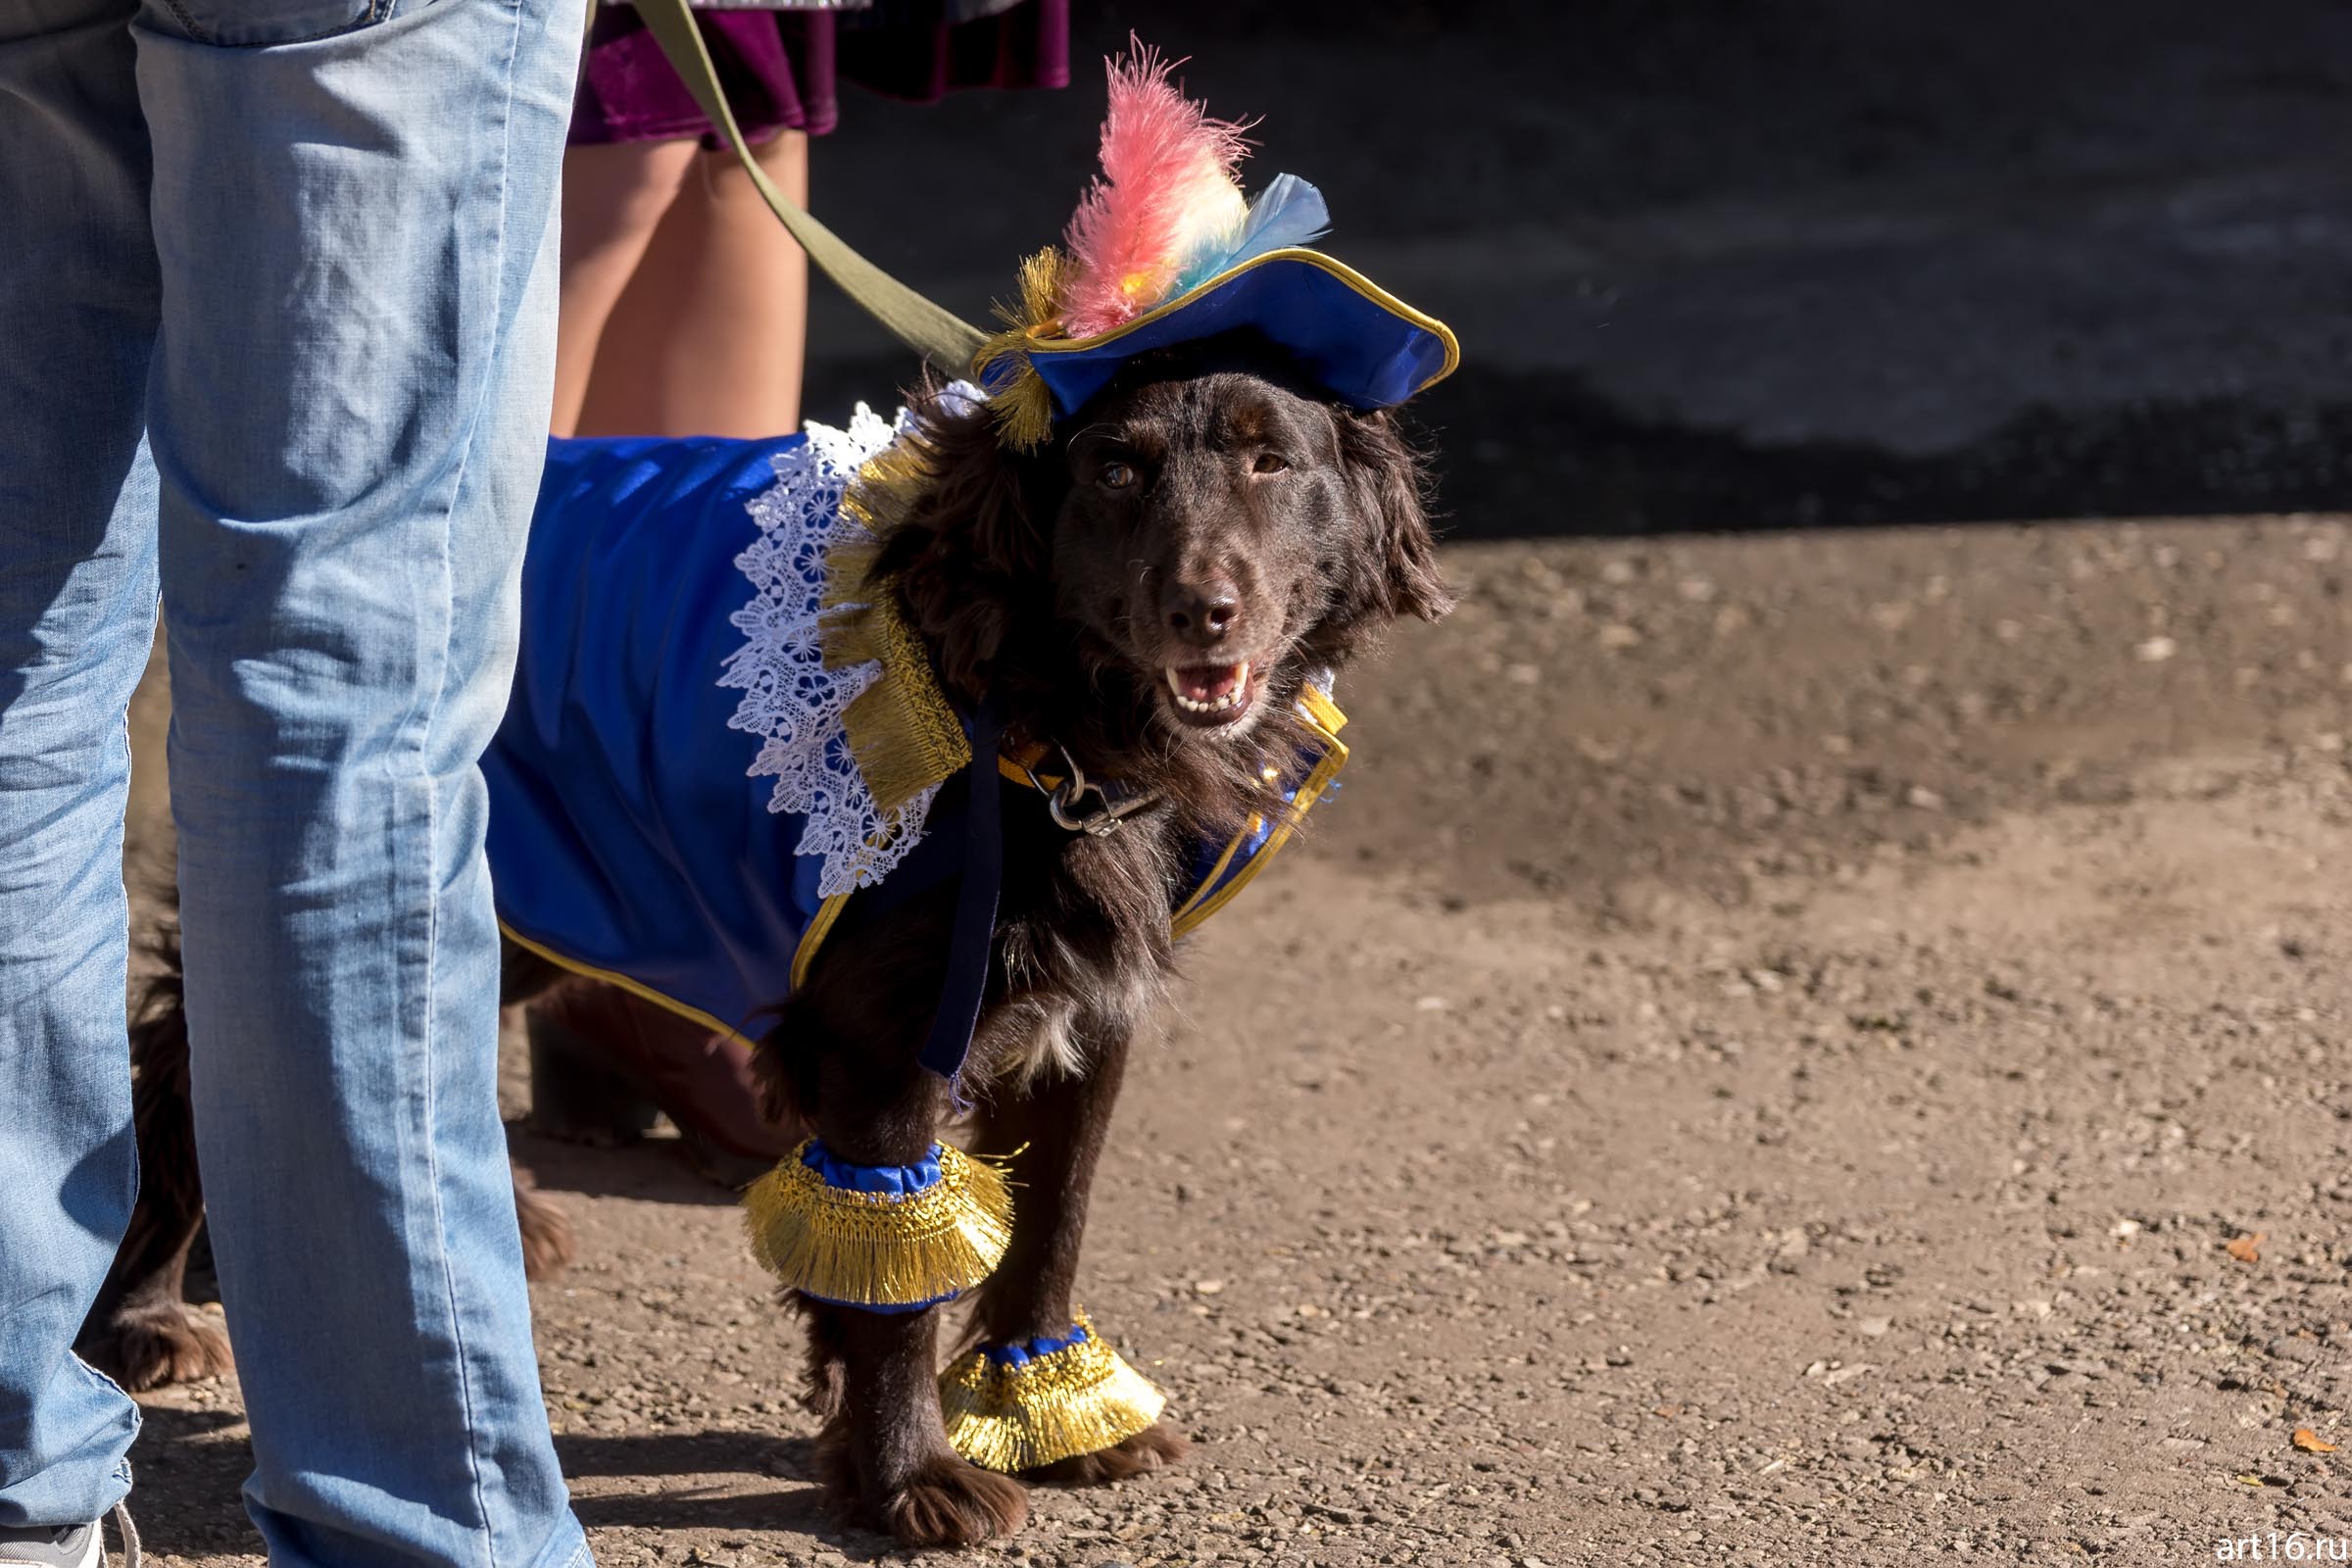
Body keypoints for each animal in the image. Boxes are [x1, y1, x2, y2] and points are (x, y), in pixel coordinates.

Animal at [82, 338, 1439, 1551]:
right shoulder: (890, 1030)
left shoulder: (1081, 1008)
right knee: (196, 1050)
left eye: (1271, 459)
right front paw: (910, 1480)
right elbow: (903, 1269)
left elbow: (1052, 1216)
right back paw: (147, 1309)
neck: (1038, 706)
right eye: (1112, 467)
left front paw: (1047, 1409)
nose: (1202, 610)